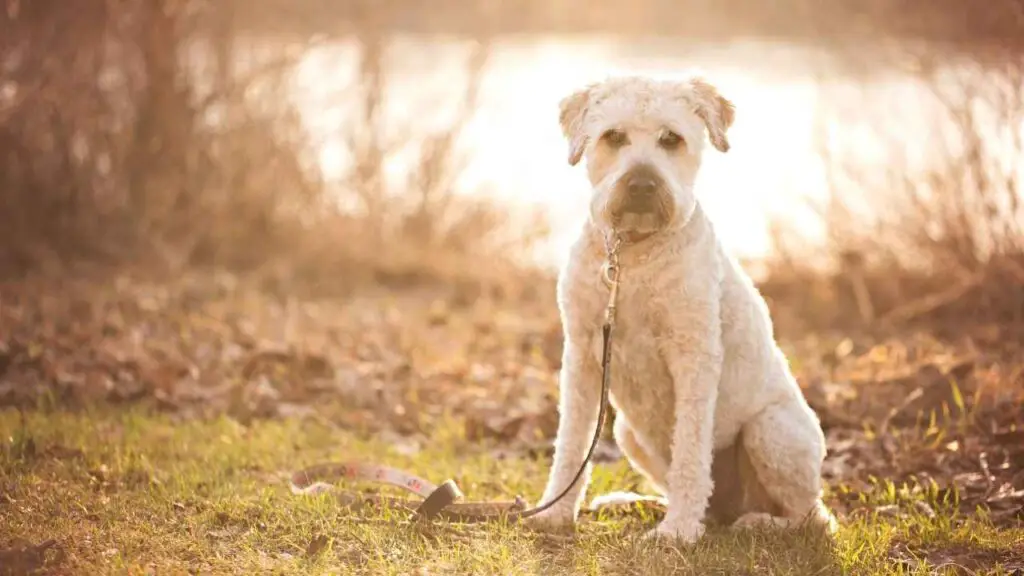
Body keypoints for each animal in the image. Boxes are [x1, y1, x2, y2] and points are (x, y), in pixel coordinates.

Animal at [532, 73, 835, 541]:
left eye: (671, 138)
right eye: (613, 136)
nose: (641, 185)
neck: (632, 254)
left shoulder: (693, 357)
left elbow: (691, 450)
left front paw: (677, 532)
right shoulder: (582, 356)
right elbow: (571, 446)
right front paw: (556, 511)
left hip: (772, 430)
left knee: (811, 517)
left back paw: (757, 522)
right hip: (628, 432)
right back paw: (643, 503)